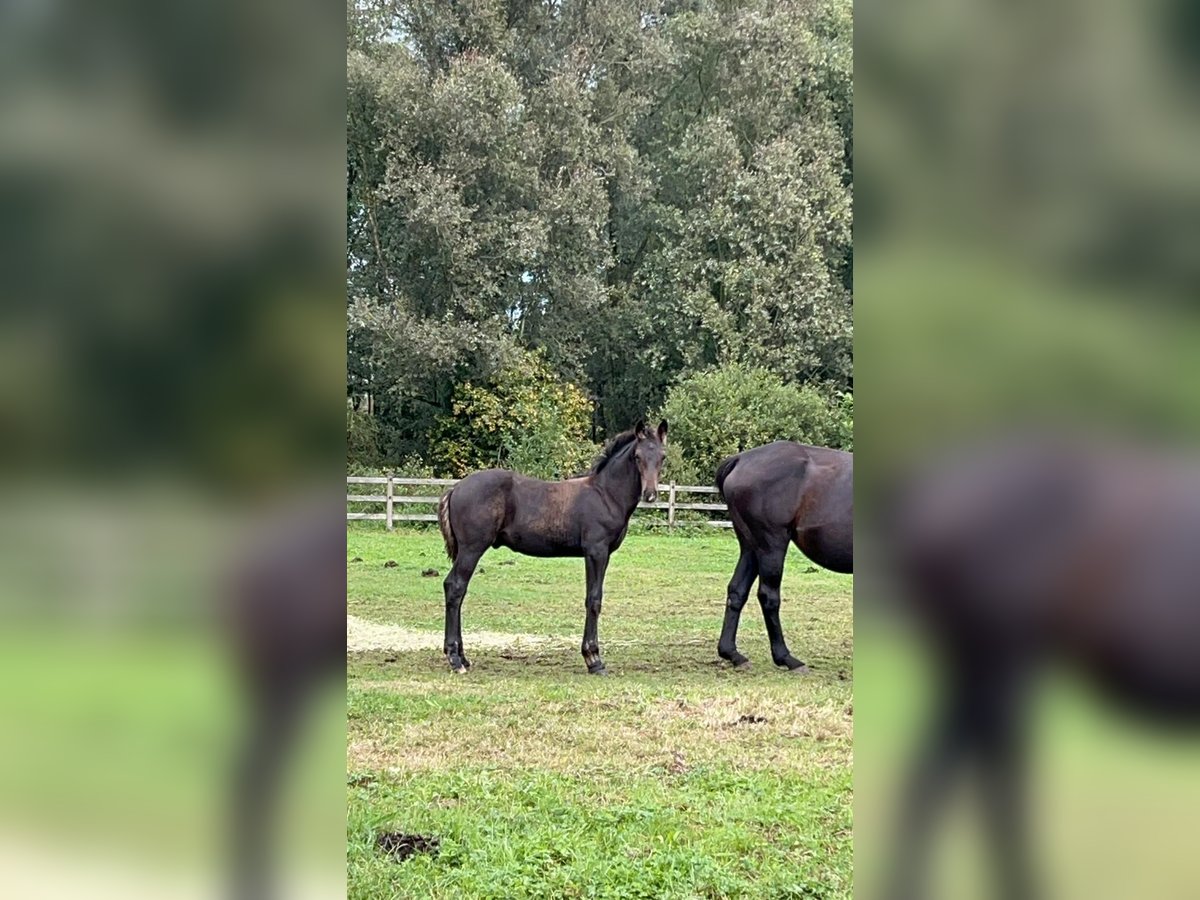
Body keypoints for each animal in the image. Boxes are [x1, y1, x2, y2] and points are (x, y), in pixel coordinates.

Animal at [439, 422, 672, 676]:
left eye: (662, 456)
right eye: (637, 456)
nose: (650, 494)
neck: (606, 494)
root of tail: (455, 488)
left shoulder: (602, 554)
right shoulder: (596, 552)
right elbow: (593, 599)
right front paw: (594, 659)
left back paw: (463, 657)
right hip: (472, 548)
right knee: (455, 587)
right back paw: (455, 659)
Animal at [710, 441, 854, 672]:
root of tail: (741, 460)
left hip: (751, 548)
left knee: (737, 591)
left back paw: (732, 654)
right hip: (771, 545)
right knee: (768, 596)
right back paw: (786, 657)